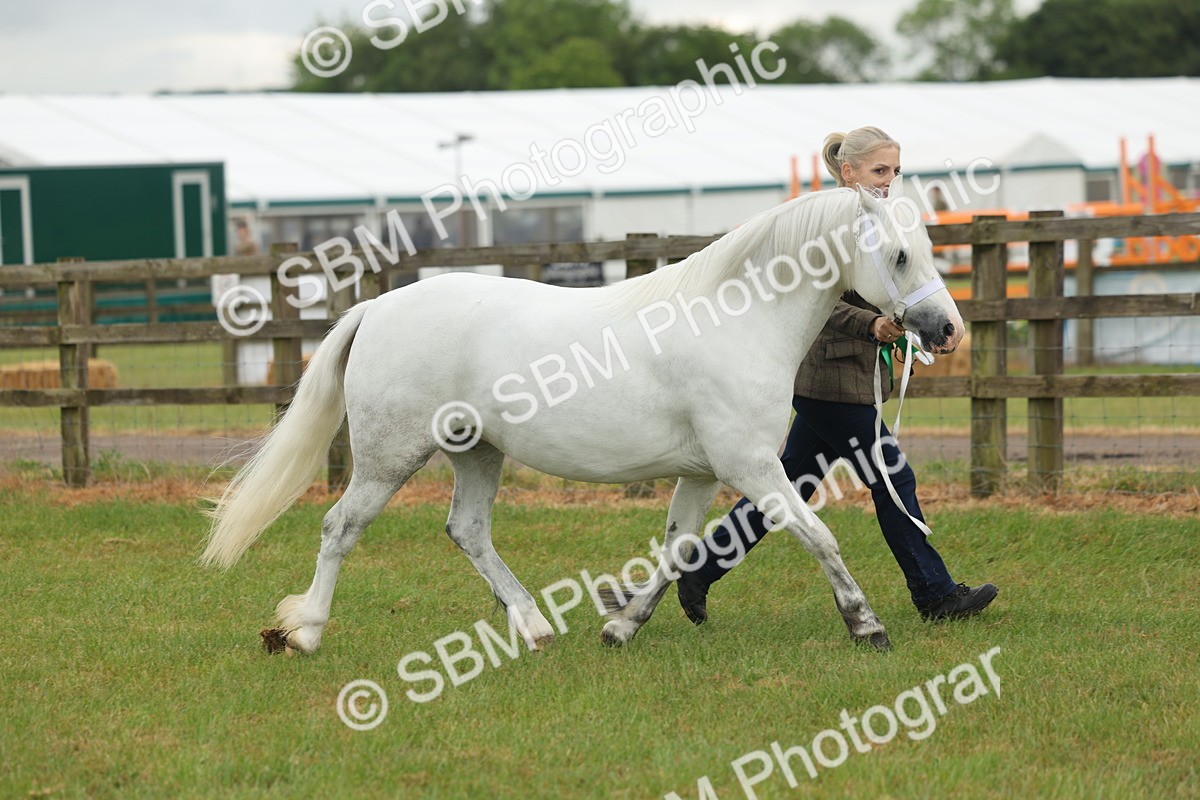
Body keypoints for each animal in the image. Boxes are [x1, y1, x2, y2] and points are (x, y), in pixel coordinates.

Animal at [202, 180, 963, 655]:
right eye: (900, 255)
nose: (947, 329)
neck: (736, 321)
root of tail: (376, 308)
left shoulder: (701, 473)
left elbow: (680, 550)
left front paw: (621, 628)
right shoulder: (752, 467)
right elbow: (819, 537)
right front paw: (867, 627)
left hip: (476, 452)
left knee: (467, 531)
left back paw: (535, 628)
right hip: (391, 456)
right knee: (341, 527)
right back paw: (304, 632)